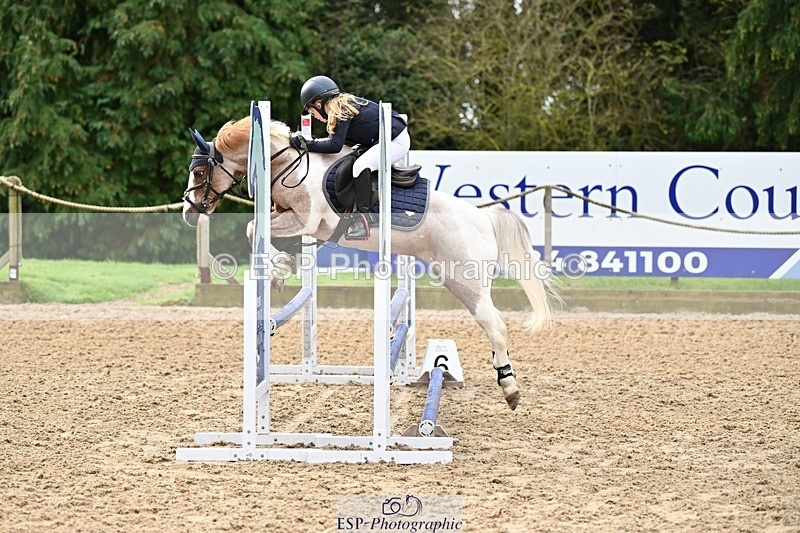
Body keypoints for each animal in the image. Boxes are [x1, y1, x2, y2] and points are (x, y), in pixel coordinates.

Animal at [182, 117, 555, 410]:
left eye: (199, 171)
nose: (188, 212)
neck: (288, 164)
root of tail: (484, 217)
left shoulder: (308, 220)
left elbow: (252, 228)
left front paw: (280, 268)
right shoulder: (292, 218)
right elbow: (255, 229)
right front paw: (281, 269)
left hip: (465, 282)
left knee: (496, 325)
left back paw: (509, 388)